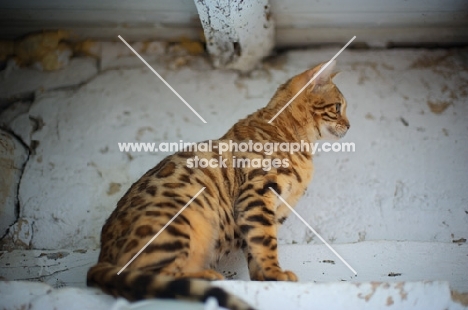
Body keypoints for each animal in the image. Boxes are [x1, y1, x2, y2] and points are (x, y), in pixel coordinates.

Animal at [88, 60, 350, 308]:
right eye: (338, 107)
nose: (349, 126)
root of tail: (101, 257)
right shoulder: (257, 195)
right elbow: (265, 242)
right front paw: (276, 273)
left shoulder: (271, 210)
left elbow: (255, 249)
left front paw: (265, 278)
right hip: (178, 222)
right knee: (150, 277)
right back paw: (206, 276)